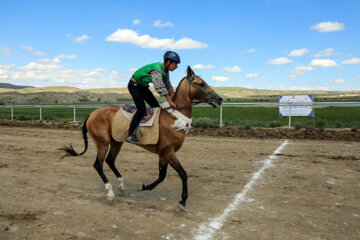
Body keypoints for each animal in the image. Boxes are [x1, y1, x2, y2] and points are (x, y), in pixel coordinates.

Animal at [59, 66, 222, 208]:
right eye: (201, 83)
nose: (219, 99)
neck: (174, 118)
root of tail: (93, 113)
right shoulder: (169, 152)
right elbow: (183, 174)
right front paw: (183, 201)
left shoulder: (163, 153)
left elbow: (162, 175)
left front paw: (143, 187)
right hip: (102, 143)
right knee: (98, 165)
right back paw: (110, 193)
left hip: (116, 142)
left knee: (110, 161)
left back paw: (121, 185)